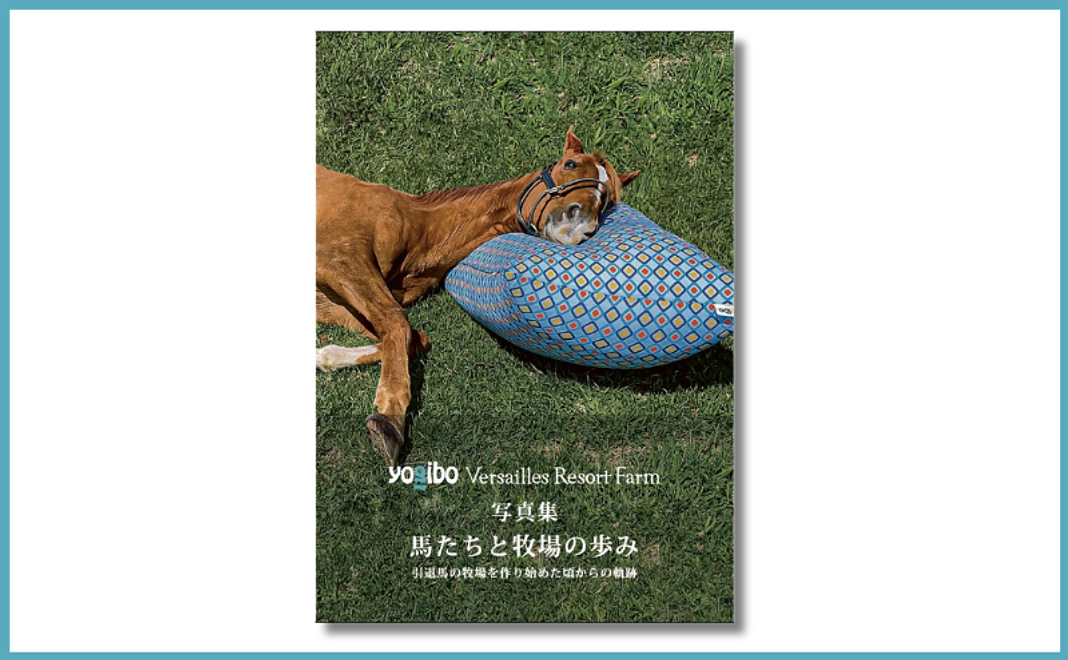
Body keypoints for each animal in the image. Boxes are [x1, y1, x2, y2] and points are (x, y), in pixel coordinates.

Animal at [315, 127, 640, 466]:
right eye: (571, 164)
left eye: (606, 200)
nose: (579, 227)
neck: (418, 229)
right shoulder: (341, 261)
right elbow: (398, 324)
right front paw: (389, 422)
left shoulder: (335, 304)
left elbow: (413, 339)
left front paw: (324, 357)